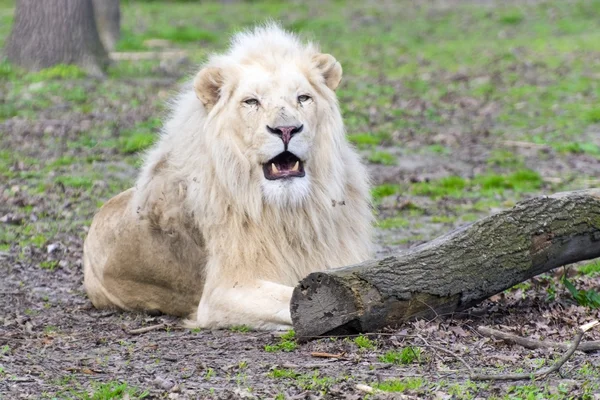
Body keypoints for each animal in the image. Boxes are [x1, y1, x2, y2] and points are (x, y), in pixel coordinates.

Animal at [82, 25, 372, 332]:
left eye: (303, 98)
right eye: (252, 101)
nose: (286, 130)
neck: (290, 212)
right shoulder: (222, 293)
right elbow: (293, 296)